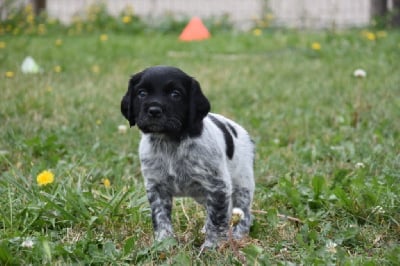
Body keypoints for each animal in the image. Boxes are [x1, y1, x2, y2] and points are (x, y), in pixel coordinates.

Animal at [120, 65, 255, 248]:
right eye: (142, 93)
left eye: (175, 94)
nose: (154, 111)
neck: (170, 142)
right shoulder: (156, 187)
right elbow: (161, 218)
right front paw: (164, 243)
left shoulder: (217, 186)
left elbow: (216, 220)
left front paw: (212, 246)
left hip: (242, 186)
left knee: (244, 213)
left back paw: (239, 235)